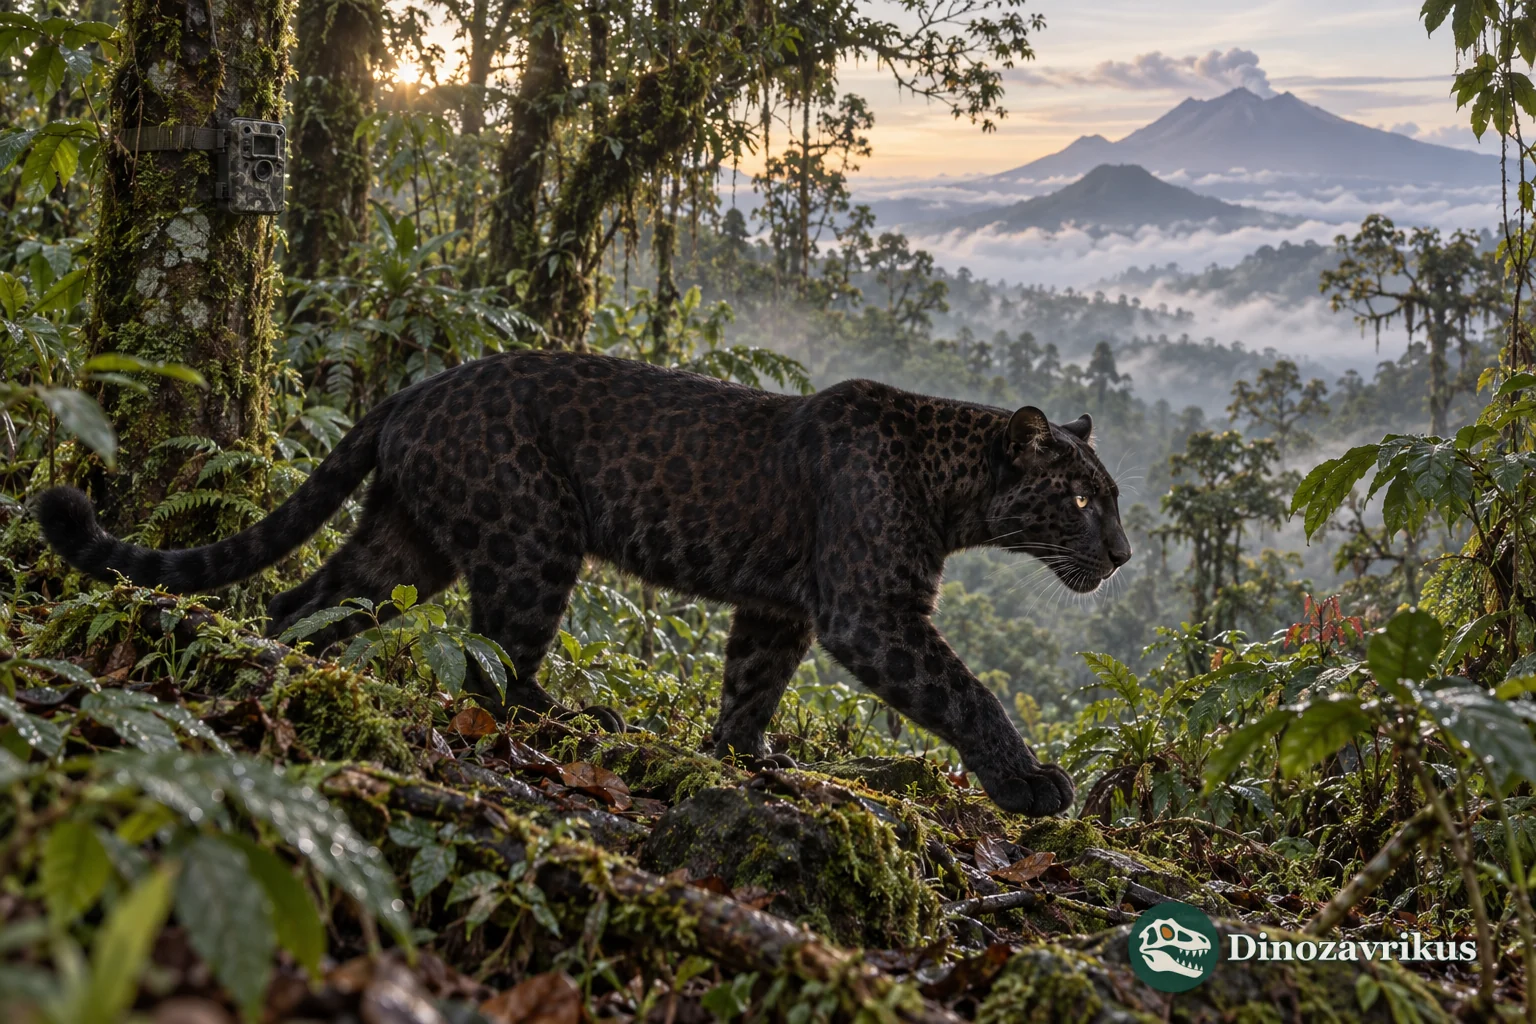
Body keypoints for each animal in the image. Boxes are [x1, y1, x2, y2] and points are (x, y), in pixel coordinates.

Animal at [34, 350, 1131, 816]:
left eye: (1110, 499)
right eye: (1081, 500)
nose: (1122, 555)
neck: (953, 488)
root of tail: (417, 386)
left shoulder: (778, 608)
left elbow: (750, 683)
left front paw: (743, 759)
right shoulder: (871, 612)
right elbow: (966, 692)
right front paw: (1033, 787)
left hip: (409, 541)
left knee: (307, 598)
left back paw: (283, 667)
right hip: (533, 537)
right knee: (495, 666)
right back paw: (566, 719)